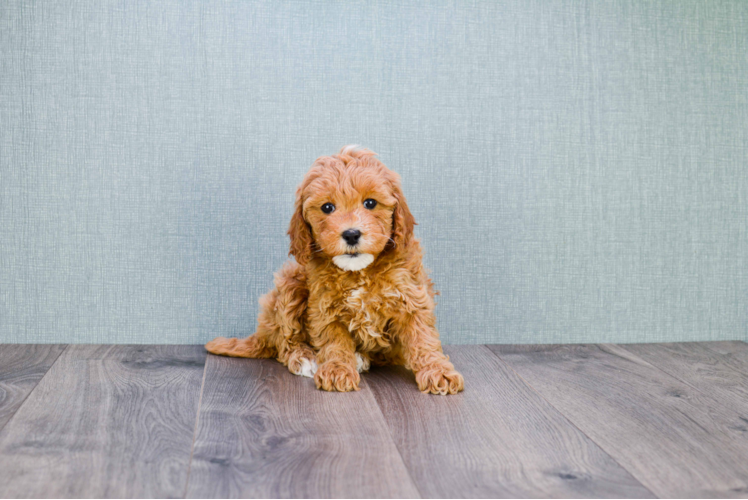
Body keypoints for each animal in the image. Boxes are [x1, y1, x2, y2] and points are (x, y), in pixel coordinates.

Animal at [205, 145, 462, 394]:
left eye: (370, 203)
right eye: (327, 207)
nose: (351, 234)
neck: (359, 272)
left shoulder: (412, 297)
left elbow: (423, 339)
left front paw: (439, 372)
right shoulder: (324, 306)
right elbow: (334, 341)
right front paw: (337, 370)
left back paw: (360, 358)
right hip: (290, 283)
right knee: (284, 342)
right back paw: (305, 358)